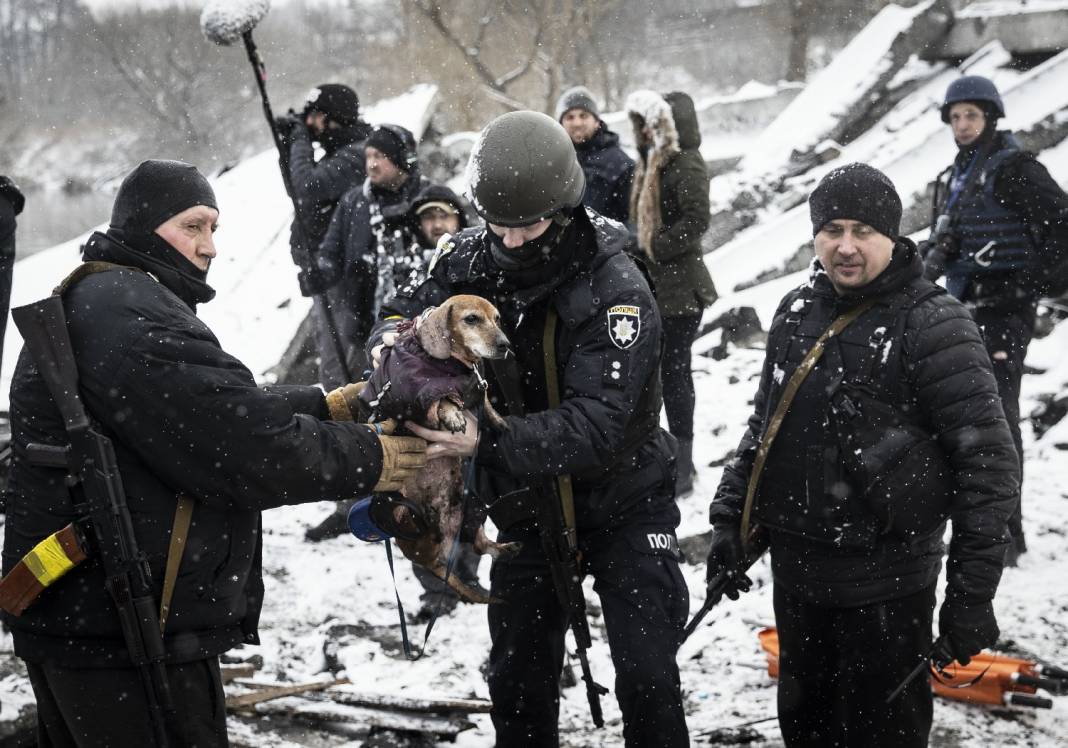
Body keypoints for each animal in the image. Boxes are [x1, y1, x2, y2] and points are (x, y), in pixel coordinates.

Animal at [360, 294, 519, 606]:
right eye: (471, 319)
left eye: (497, 319)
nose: (505, 345)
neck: (455, 365)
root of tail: (438, 554)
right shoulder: (414, 391)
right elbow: (440, 397)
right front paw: (452, 413)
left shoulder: (477, 385)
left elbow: (484, 399)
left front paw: (497, 420)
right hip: (404, 513)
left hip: (472, 509)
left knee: (480, 546)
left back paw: (505, 549)